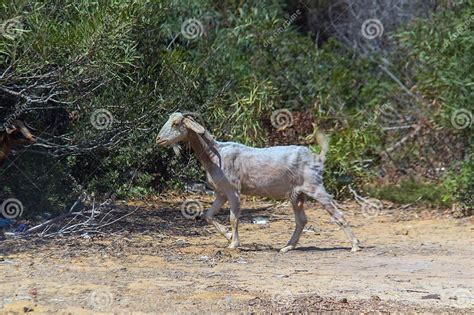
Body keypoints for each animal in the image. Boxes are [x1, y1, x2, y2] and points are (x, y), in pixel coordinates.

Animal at [157, 112, 362, 253]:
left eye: (176, 123)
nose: (158, 140)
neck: (215, 154)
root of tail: (317, 158)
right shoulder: (221, 192)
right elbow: (207, 215)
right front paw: (229, 236)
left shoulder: (233, 190)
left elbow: (233, 218)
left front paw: (234, 244)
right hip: (297, 194)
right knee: (301, 220)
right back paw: (287, 247)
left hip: (315, 186)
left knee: (337, 214)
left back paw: (355, 245)